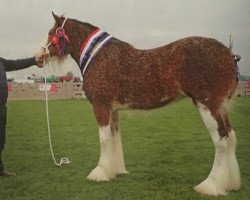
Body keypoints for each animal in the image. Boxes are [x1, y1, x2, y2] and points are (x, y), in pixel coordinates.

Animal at [38, 13, 240, 196]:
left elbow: (104, 140)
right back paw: (230, 184)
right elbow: (114, 138)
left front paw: (100, 173)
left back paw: (210, 186)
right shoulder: (113, 110)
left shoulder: (101, 106)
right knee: (231, 137)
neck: (98, 56)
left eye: (51, 33)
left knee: (221, 140)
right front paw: (116, 171)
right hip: (220, 107)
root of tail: (228, 53)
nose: (38, 56)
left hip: (208, 106)